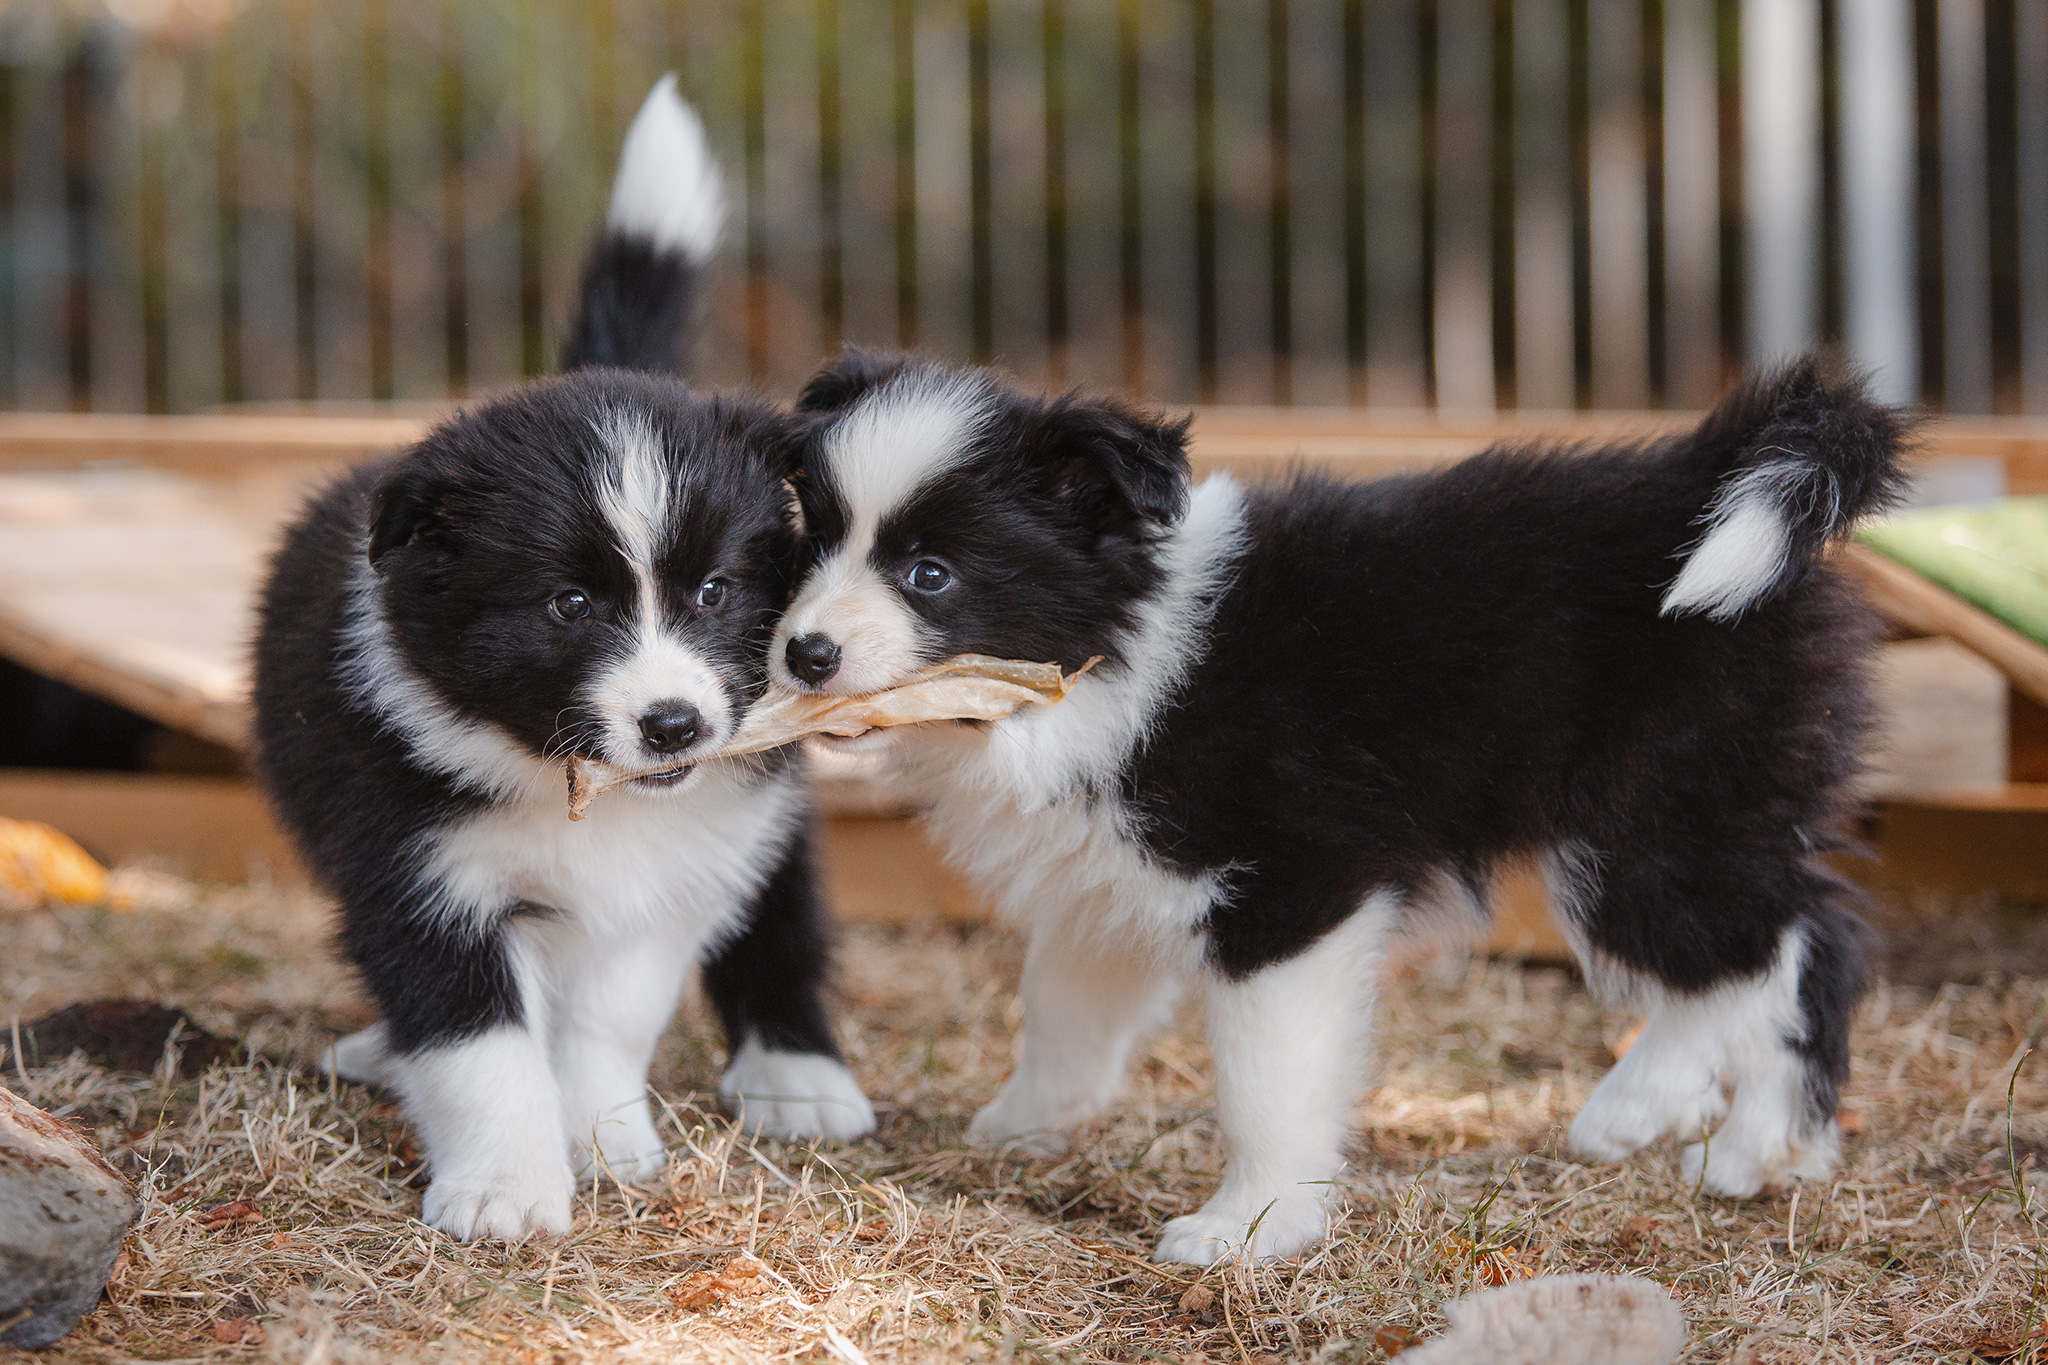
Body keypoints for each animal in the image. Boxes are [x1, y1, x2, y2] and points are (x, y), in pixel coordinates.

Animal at [251, 77, 868, 1252]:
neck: (573, 786)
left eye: (713, 592)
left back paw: (798, 1072)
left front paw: (598, 1139)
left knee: (780, 906)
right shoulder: (416, 870)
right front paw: (504, 1189)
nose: (673, 724)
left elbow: (606, 1015)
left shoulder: (676, 864)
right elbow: (474, 1039)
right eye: (568, 606)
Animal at [765, 356, 1900, 1268]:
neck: (1116, 650)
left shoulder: (1292, 887)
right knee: (1775, 945)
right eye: (813, 542)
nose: (803, 653)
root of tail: (1700, 480)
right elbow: (1064, 1001)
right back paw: (1702, 1130)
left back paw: (1713, 1134)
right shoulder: (1112, 864)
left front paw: (1249, 1226)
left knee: (1771, 948)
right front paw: (1027, 1121)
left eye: (929, 574)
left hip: (1650, 814)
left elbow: (1264, 1080)